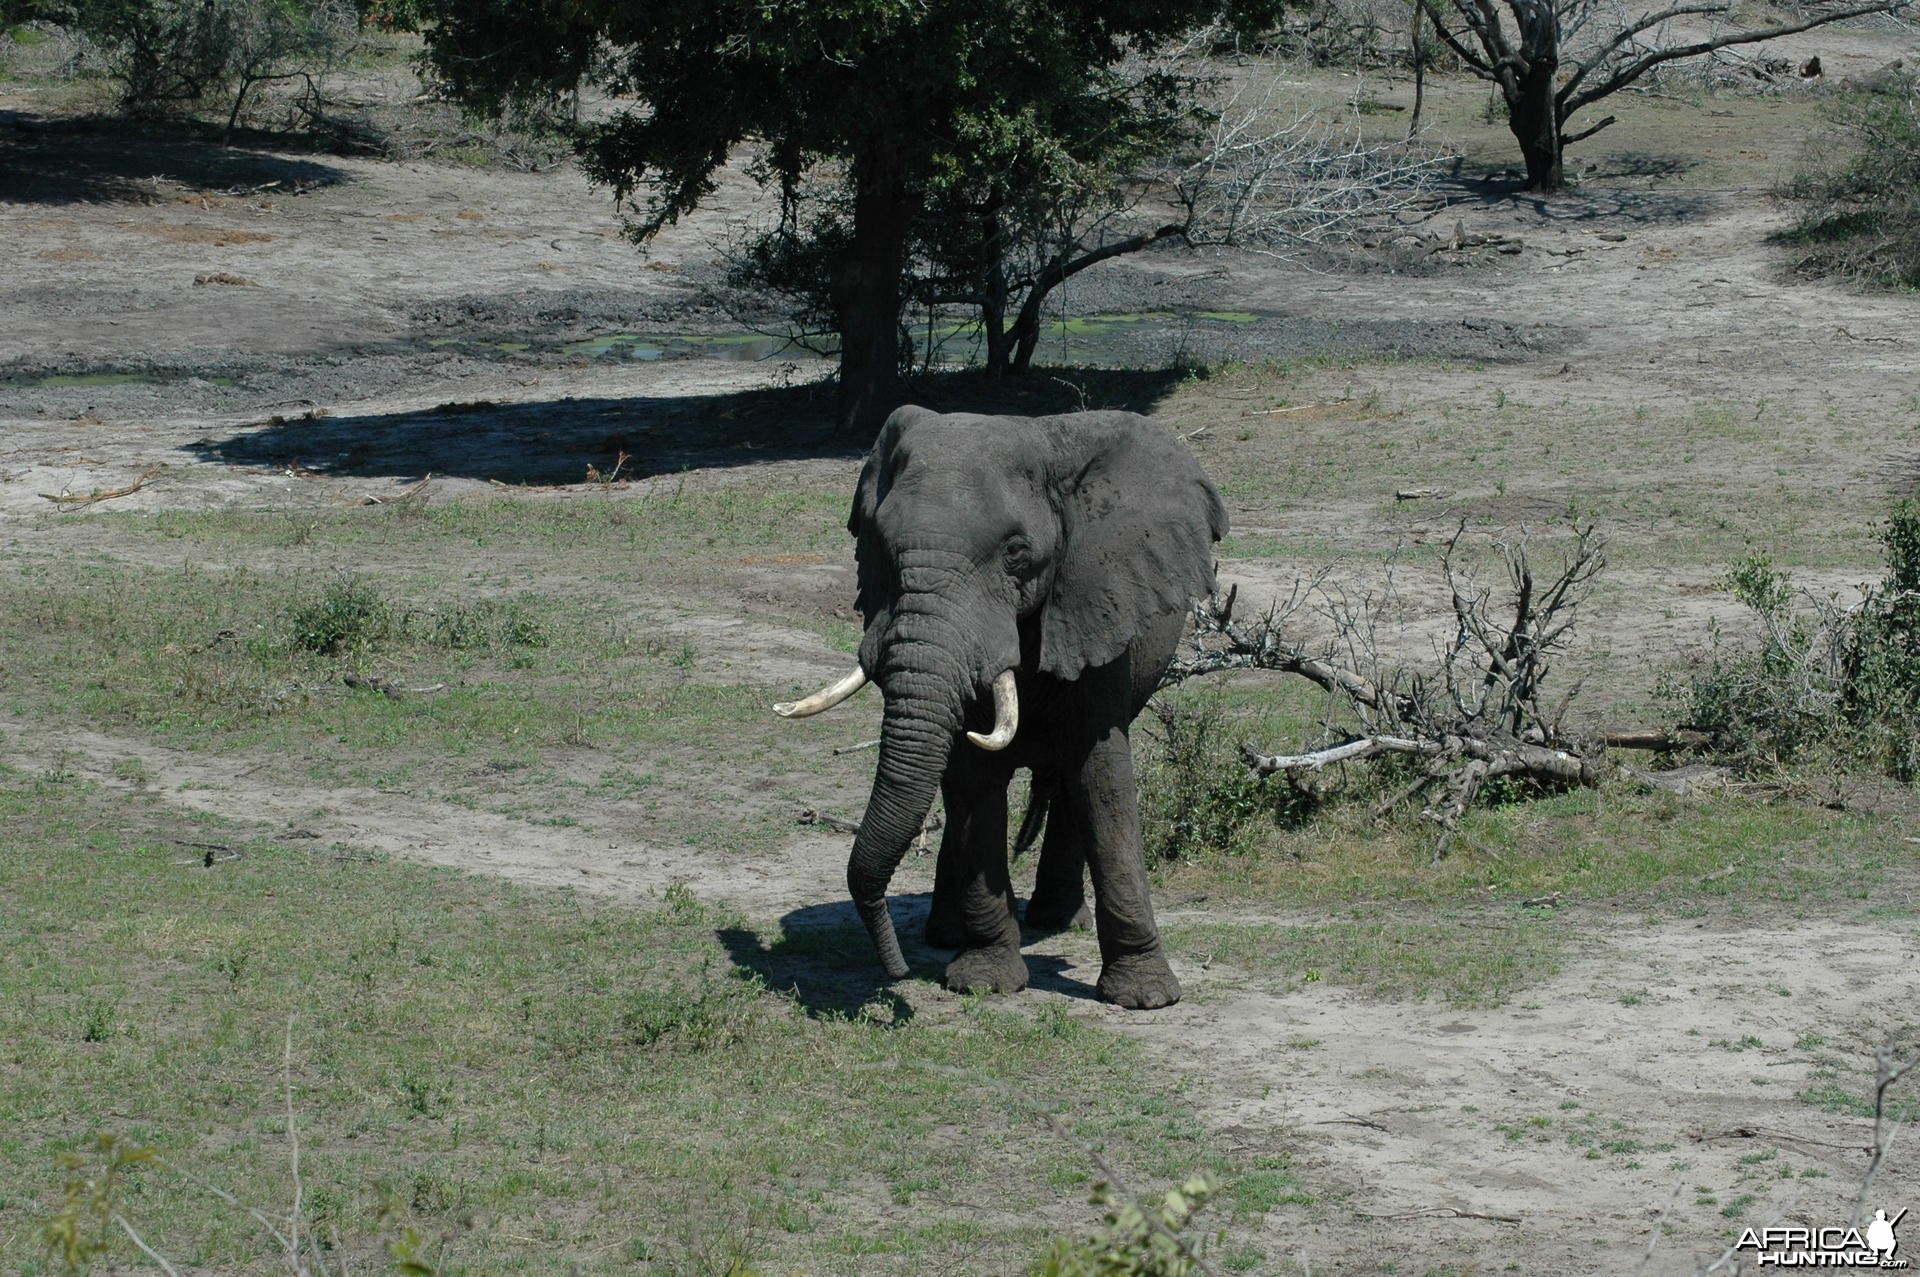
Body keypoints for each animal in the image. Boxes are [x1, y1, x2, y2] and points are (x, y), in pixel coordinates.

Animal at [771, 403, 1221, 1013]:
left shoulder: (1095, 602)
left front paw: (1146, 998)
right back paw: (947, 934)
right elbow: (973, 777)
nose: (896, 971)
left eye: (1016, 554)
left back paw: (1059, 922)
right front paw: (984, 981)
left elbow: (1101, 774)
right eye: (881, 546)